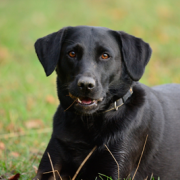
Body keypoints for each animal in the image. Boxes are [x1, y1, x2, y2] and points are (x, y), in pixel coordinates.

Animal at [33, 25, 180, 180]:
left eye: (105, 55)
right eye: (72, 53)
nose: (86, 85)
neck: (88, 123)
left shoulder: (114, 168)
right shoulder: (49, 166)